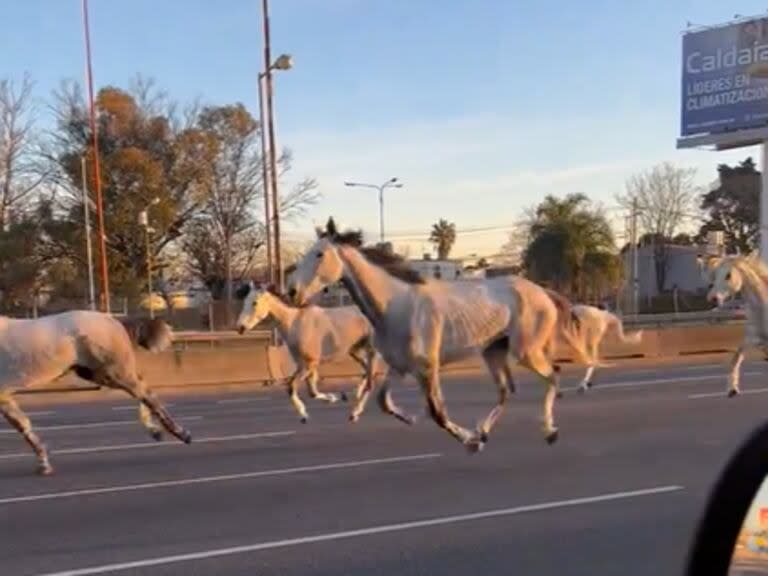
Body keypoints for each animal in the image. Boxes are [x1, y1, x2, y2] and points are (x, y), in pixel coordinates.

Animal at [0, 312, 191, 474]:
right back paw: (158, 431)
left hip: (114, 371)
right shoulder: (4, 396)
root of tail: (114, 320)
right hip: (97, 373)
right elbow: (23, 425)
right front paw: (44, 465)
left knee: (145, 392)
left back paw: (181, 434)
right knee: (142, 387)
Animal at [234, 282, 378, 424]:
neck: (295, 323)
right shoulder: (303, 365)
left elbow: (291, 386)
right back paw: (353, 393)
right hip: (355, 351)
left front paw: (304, 415)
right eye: (245, 300)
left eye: (255, 302)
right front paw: (332, 398)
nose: (240, 328)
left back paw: (355, 413)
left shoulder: (309, 364)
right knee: (367, 372)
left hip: (371, 350)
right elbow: (312, 392)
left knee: (371, 381)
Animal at [288, 218, 592, 452]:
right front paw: (413, 419)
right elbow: (383, 401)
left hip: (525, 351)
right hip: (493, 351)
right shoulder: (399, 367)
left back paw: (548, 431)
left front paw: (469, 441)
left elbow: (437, 412)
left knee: (552, 376)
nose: (292, 291)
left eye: (319, 254)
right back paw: (484, 430)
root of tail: (543, 292)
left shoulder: (427, 367)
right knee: (507, 391)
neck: (396, 304)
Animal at [704, 255, 768, 396]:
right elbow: (736, 357)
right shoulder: (753, 339)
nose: (713, 298)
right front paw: (732, 389)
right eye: (715, 275)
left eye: (728, 275)